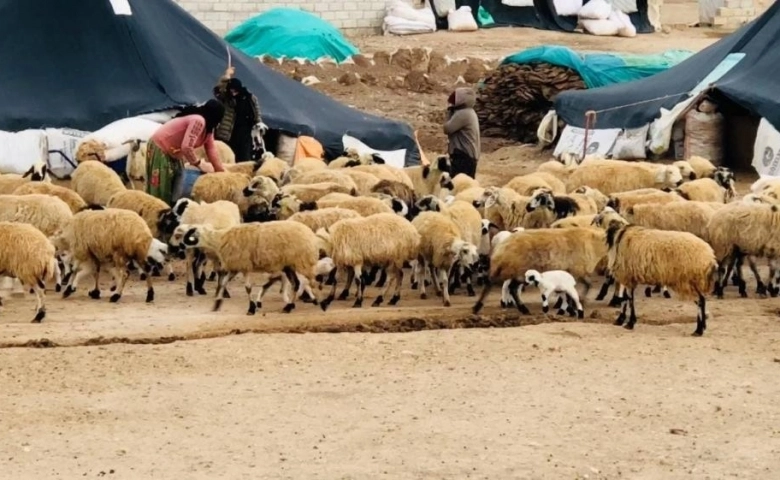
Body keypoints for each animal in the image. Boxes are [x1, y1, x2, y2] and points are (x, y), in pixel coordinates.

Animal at [172, 219, 322, 314]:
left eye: (193, 233)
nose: (181, 248)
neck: (219, 239)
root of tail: (311, 235)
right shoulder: (235, 267)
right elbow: (223, 283)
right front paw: (217, 304)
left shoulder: (245, 266)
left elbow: (248, 288)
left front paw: (251, 308)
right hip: (289, 265)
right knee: (296, 284)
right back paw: (289, 307)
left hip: (303, 262)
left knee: (313, 282)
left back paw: (319, 303)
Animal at [472, 228, 608, 316]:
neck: (595, 242)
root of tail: (502, 246)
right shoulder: (577, 270)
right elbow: (585, 286)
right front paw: (576, 305)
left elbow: (585, 286)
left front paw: (574, 305)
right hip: (515, 270)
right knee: (496, 285)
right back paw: (477, 307)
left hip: (516, 271)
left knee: (509, 288)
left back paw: (522, 309)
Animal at [592, 208, 720, 336]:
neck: (619, 233)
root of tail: (710, 256)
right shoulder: (629, 277)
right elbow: (627, 298)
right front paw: (624, 320)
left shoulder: (625, 275)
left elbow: (628, 299)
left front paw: (627, 322)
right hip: (694, 281)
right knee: (702, 299)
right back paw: (702, 327)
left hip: (687, 280)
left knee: (700, 301)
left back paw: (698, 330)